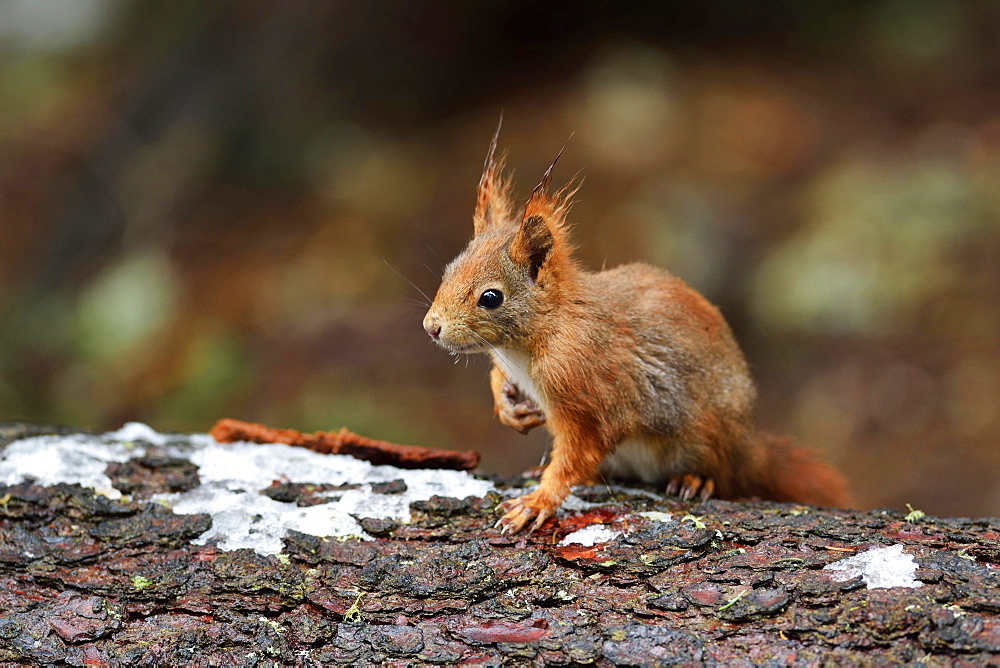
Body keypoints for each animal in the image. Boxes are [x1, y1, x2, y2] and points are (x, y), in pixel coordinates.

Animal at [422, 124, 852, 532]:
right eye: (449, 269)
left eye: (491, 298)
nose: (431, 327)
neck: (541, 332)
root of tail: (749, 447)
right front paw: (509, 407)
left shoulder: (585, 390)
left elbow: (578, 454)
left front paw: (537, 501)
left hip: (708, 441)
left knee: (723, 475)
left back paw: (696, 480)